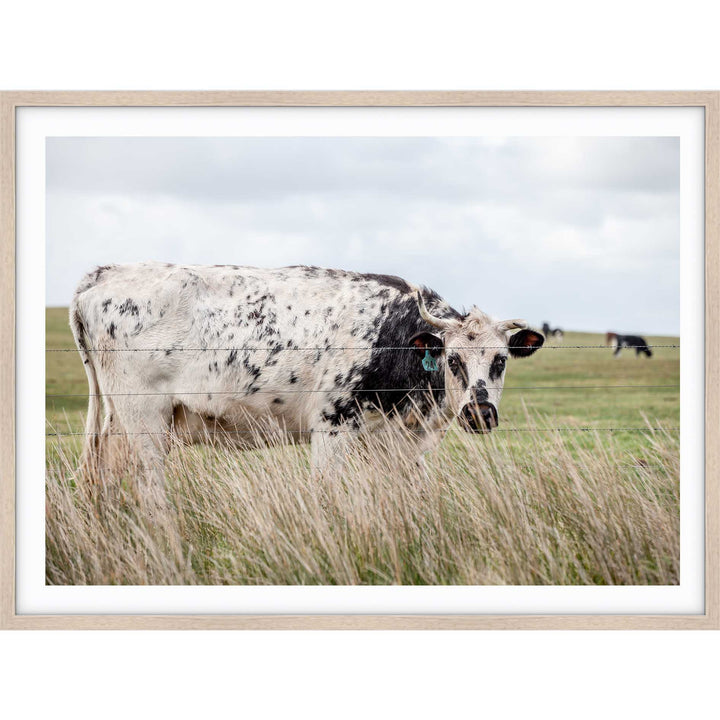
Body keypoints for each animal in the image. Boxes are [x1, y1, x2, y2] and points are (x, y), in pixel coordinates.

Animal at [70, 263, 544, 500]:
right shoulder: (333, 424)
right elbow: (326, 491)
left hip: (117, 423)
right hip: (145, 420)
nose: (479, 413)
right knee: (150, 487)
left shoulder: (394, 444)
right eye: (453, 358)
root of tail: (106, 273)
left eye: (501, 360)